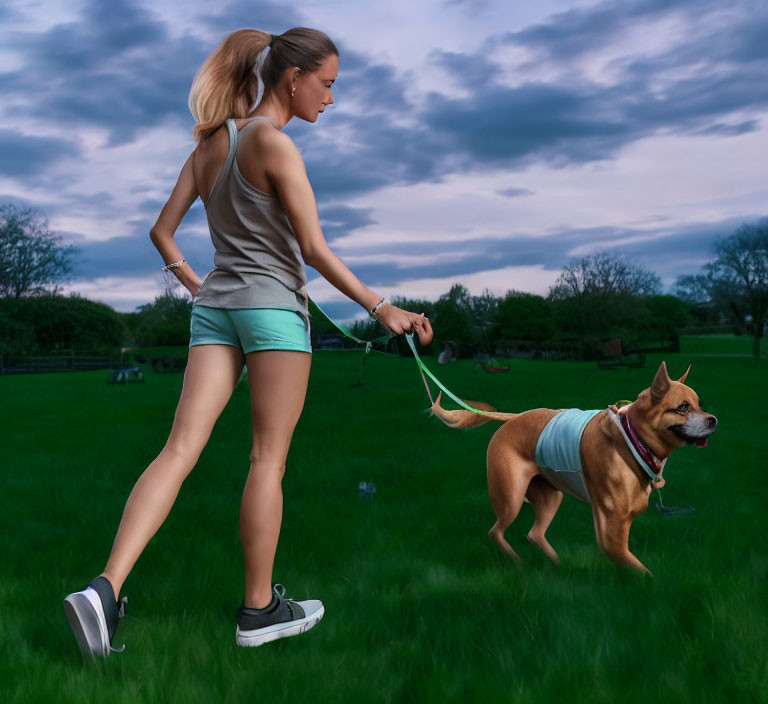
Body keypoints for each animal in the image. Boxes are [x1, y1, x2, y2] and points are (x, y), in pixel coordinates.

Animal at [428, 364, 716, 572]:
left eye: (700, 404)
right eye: (683, 407)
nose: (713, 420)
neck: (631, 439)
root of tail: (514, 418)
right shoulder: (611, 537)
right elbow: (643, 573)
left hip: (550, 496)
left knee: (534, 533)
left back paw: (557, 564)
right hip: (511, 497)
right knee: (495, 532)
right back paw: (518, 563)